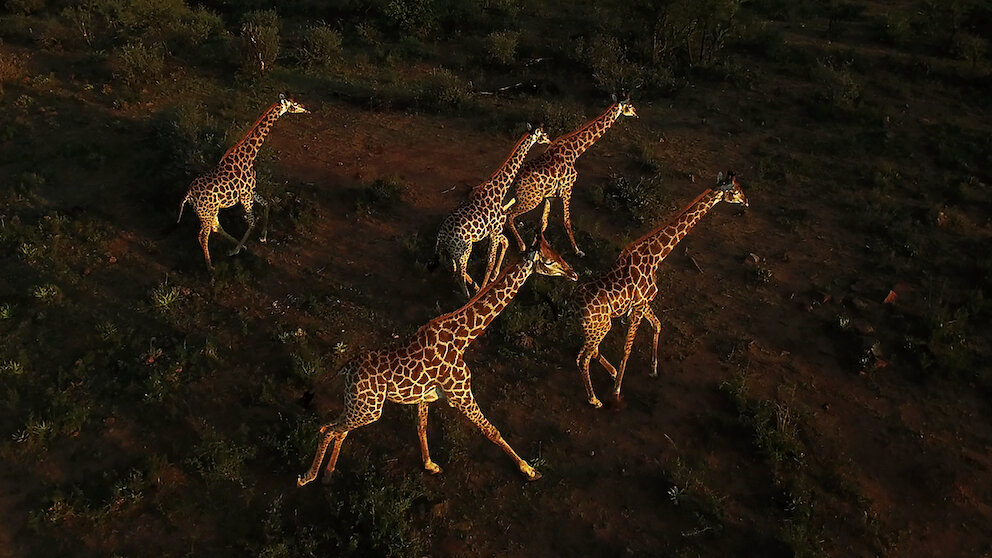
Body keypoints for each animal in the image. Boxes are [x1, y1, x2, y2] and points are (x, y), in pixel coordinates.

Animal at [177, 93, 309, 270]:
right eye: (294, 105)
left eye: (296, 101)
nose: (306, 108)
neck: (250, 155)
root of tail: (188, 195)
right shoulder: (245, 195)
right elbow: (251, 222)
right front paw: (235, 251)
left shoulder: (251, 190)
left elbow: (266, 203)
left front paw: (262, 237)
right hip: (206, 211)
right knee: (203, 236)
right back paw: (211, 267)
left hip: (208, 211)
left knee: (215, 227)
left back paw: (238, 246)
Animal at [298, 233, 577, 486]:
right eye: (549, 261)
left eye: (558, 252)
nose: (573, 273)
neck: (463, 338)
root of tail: (346, 368)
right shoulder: (461, 394)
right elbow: (491, 430)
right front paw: (529, 469)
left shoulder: (424, 397)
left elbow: (421, 427)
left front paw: (430, 465)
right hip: (368, 409)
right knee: (327, 430)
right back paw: (307, 477)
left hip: (360, 406)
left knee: (338, 431)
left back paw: (328, 475)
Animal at [428, 126, 551, 298]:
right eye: (543, 134)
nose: (549, 140)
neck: (500, 189)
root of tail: (442, 235)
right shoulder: (496, 230)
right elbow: (490, 262)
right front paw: (485, 287)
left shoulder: (494, 231)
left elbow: (503, 245)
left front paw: (490, 281)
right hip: (464, 249)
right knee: (459, 273)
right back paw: (469, 296)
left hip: (453, 251)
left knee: (452, 268)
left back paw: (474, 287)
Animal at [506, 94, 637, 257]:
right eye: (629, 106)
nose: (636, 113)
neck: (576, 151)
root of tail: (515, 181)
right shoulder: (568, 188)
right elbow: (567, 220)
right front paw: (577, 250)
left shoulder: (550, 194)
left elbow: (543, 223)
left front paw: (538, 249)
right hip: (531, 200)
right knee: (509, 215)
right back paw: (521, 245)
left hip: (519, 197)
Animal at [575, 172, 748, 407]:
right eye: (736, 191)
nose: (747, 201)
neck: (656, 256)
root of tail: (575, 302)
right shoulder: (639, 306)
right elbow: (627, 349)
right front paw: (617, 392)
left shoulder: (645, 302)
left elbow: (658, 325)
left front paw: (653, 370)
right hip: (598, 326)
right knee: (583, 357)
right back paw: (594, 399)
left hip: (598, 326)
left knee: (589, 352)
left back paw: (610, 373)